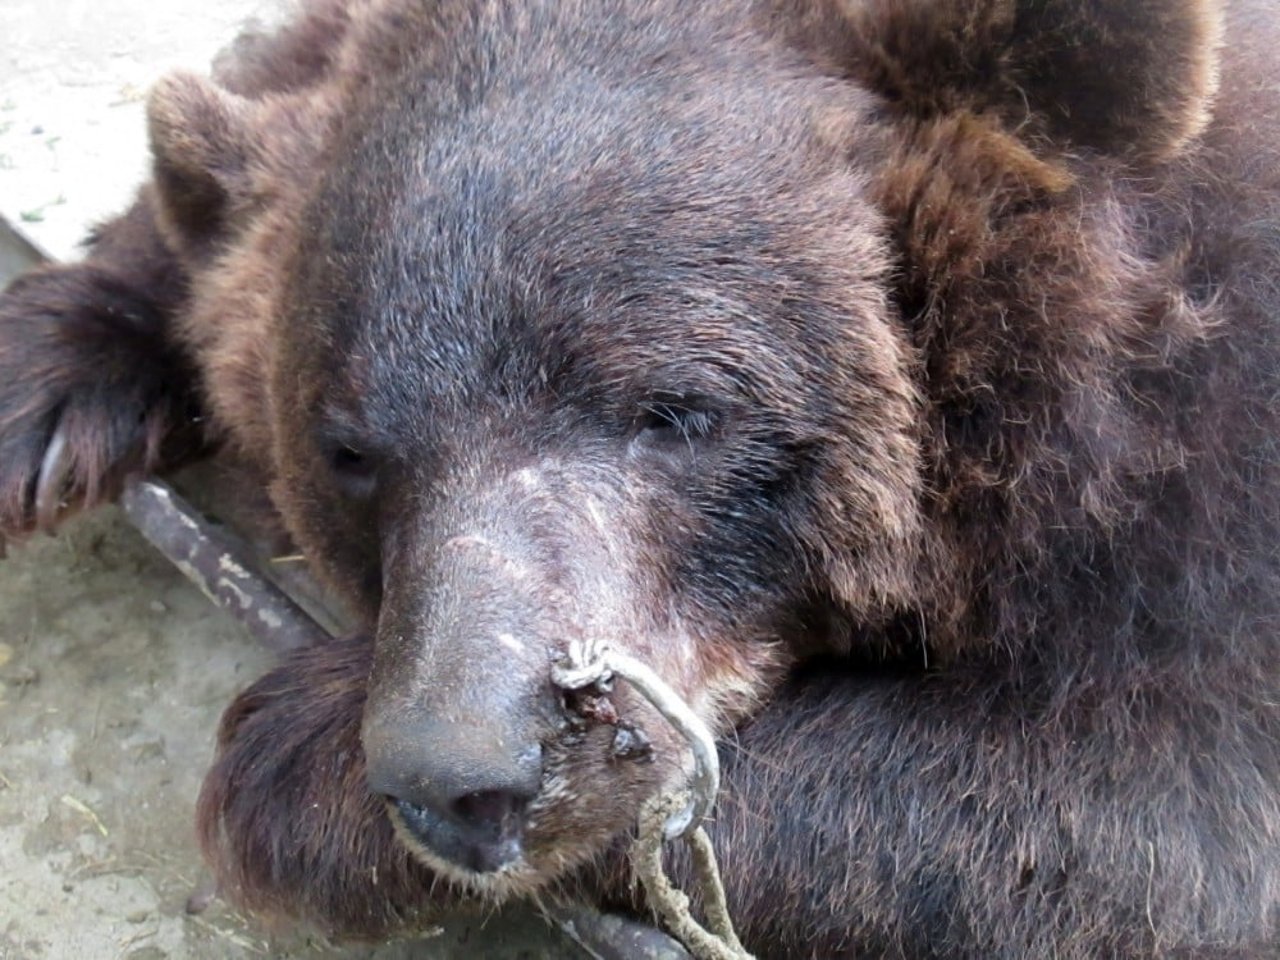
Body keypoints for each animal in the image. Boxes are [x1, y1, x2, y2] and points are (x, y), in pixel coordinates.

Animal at [2, 0, 1280, 957]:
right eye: (351, 451)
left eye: (677, 412)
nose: (461, 782)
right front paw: (47, 376)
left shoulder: (1195, 510)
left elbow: (1142, 828)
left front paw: (284, 764)